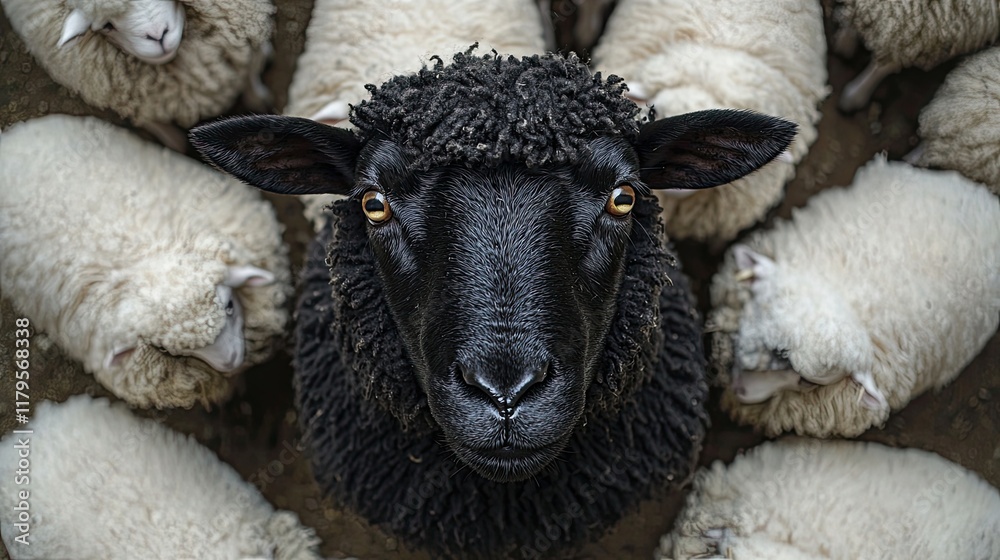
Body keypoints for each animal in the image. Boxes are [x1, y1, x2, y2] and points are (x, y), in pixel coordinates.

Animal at [0, 0, 275, 151]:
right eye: (106, 25)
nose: (159, 35)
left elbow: (251, 75)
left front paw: (259, 100)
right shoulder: (134, 101)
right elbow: (165, 133)